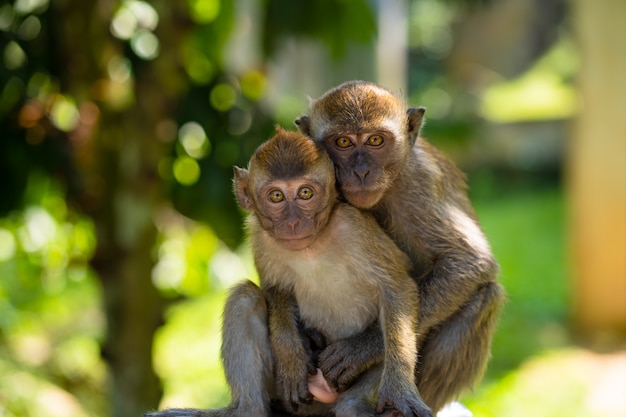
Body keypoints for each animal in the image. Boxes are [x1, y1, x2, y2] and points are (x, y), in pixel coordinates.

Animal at [145, 127, 434, 416]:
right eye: (276, 196)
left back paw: (353, 404)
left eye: (305, 193)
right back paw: (248, 409)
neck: (311, 247)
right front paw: (292, 355)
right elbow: (275, 289)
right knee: (245, 296)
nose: (293, 222)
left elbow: (396, 288)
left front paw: (398, 390)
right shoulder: (260, 237)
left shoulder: (354, 226)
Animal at [294, 79, 504, 412]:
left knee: (486, 295)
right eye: (343, 142)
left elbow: (468, 261)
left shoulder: (420, 182)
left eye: (376, 140)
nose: (362, 172)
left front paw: (362, 348)